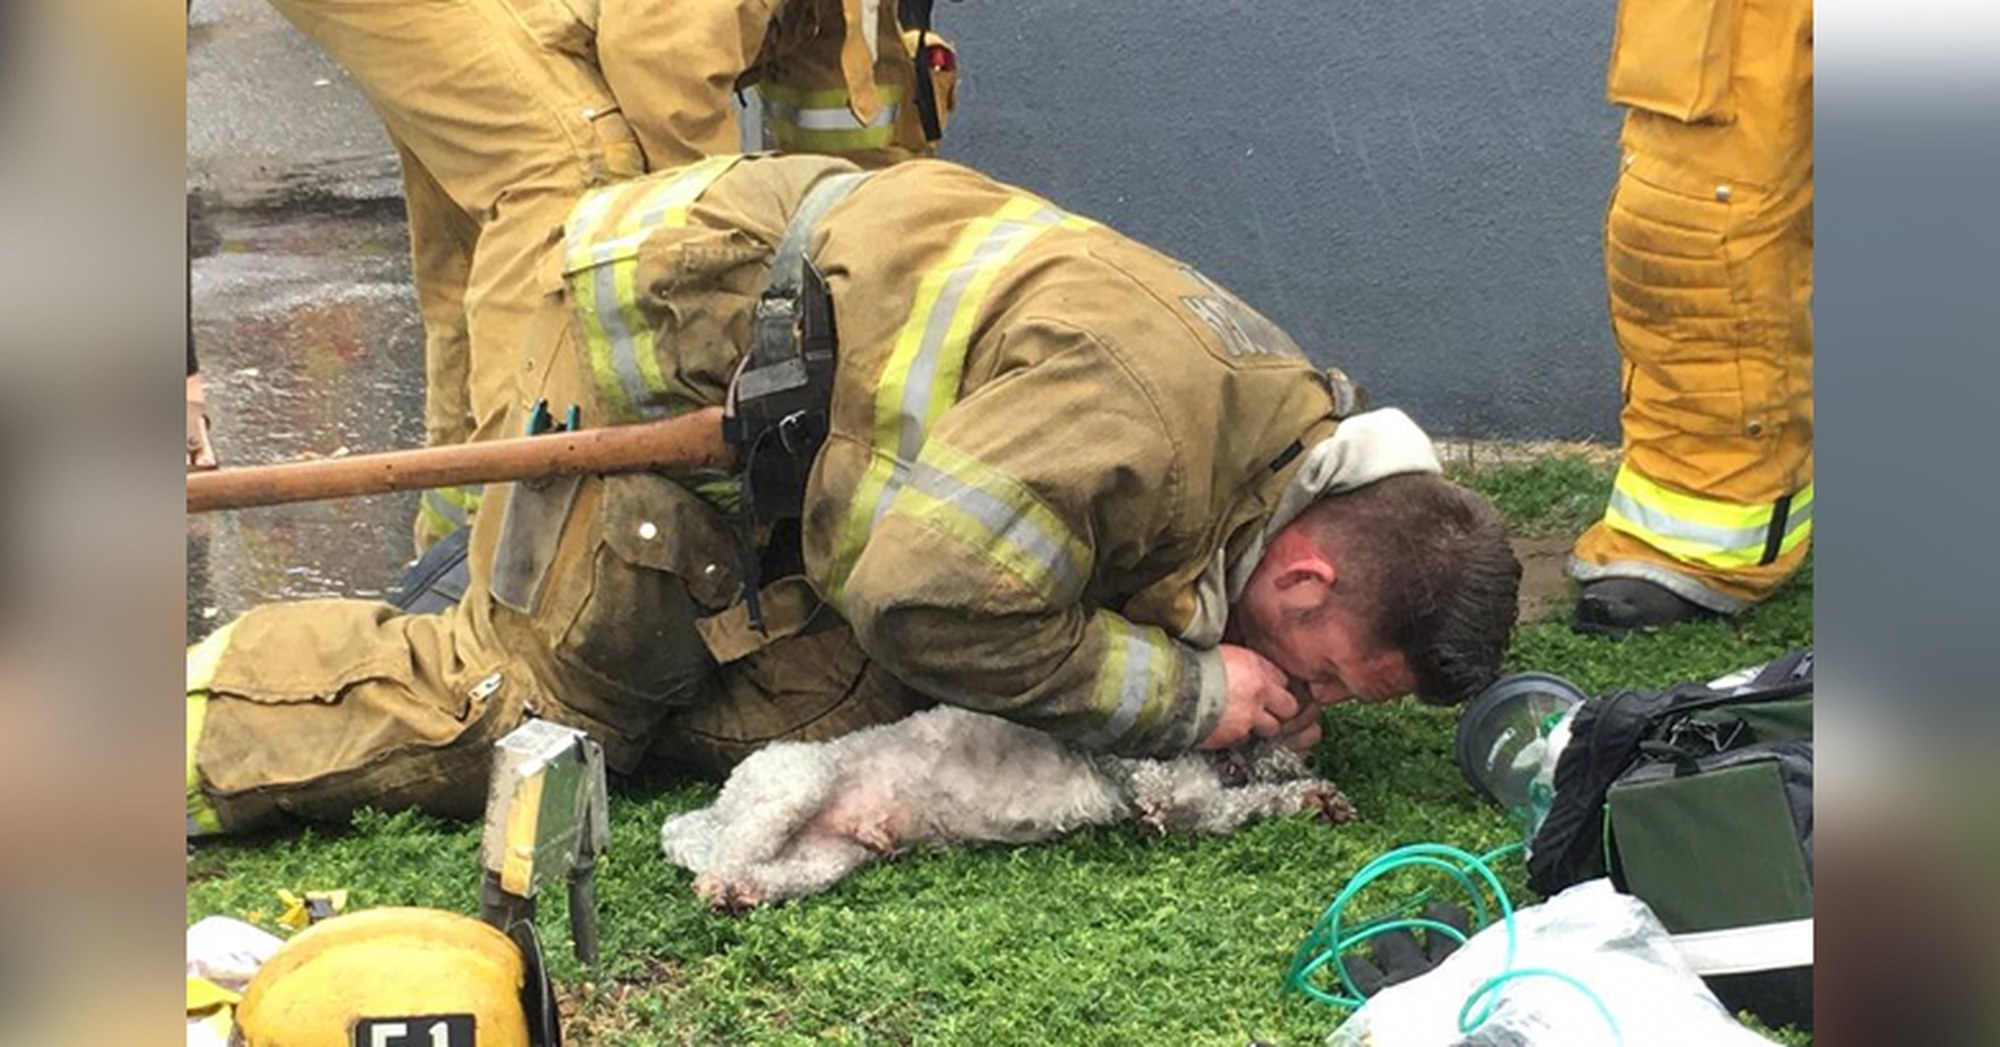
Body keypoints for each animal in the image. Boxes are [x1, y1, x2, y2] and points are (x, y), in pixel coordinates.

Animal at [664, 707, 1352, 911]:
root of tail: (711, 809)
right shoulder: (1143, 768)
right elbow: (1159, 783)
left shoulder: (1207, 811)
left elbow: (1244, 805)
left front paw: (1316, 799)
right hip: (792, 786)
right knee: (722, 856)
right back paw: (720, 886)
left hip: (825, 858)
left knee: (769, 871)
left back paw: (746, 893)